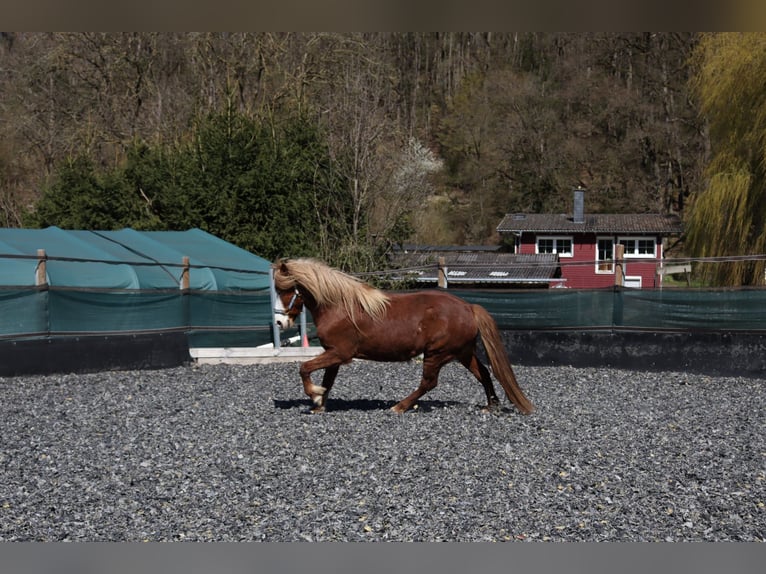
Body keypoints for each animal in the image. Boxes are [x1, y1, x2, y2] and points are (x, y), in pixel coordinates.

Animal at [272, 257, 534, 415]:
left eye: (285, 290)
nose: (279, 322)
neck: (339, 307)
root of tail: (469, 308)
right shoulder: (333, 354)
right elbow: (327, 380)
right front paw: (319, 403)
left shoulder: (340, 353)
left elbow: (304, 368)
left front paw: (314, 395)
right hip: (462, 353)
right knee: (484, 374)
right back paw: (492, 405)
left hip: (437, 353)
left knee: (429, 382)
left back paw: (399, 406)